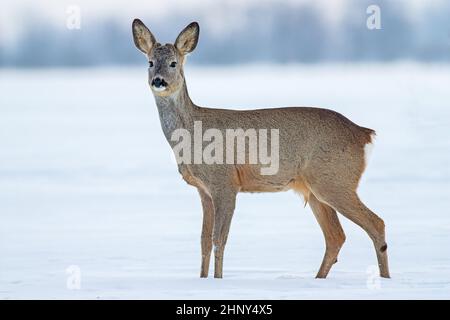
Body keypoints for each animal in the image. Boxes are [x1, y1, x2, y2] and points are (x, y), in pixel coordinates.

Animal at [132, 20, 388, 280]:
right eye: (150, 62)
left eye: (173, 63)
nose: (158, 80)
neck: (192, 133)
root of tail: (364, 133)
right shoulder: (203, 190)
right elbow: (204, 240)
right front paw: (202, 280)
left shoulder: (225, 182)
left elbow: (219, 239)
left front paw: (218, 279)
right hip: (314, 189)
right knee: (336, 236)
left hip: (335, 180)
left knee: (375, 223)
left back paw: (384, 278)